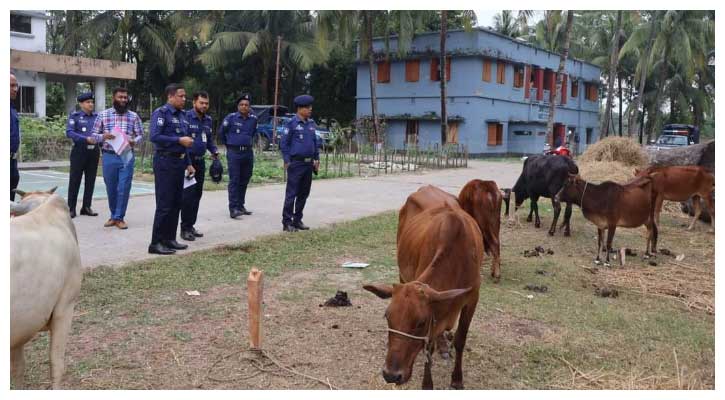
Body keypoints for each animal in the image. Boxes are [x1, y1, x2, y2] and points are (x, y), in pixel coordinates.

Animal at [364, 205, 484, 390]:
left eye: (420, 323)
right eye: (387, 317)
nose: (391, 375)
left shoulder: (472, 300)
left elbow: (460, 340)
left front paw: (457, 379)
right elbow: (429, 345)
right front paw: (427, 384)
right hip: (402, 274)